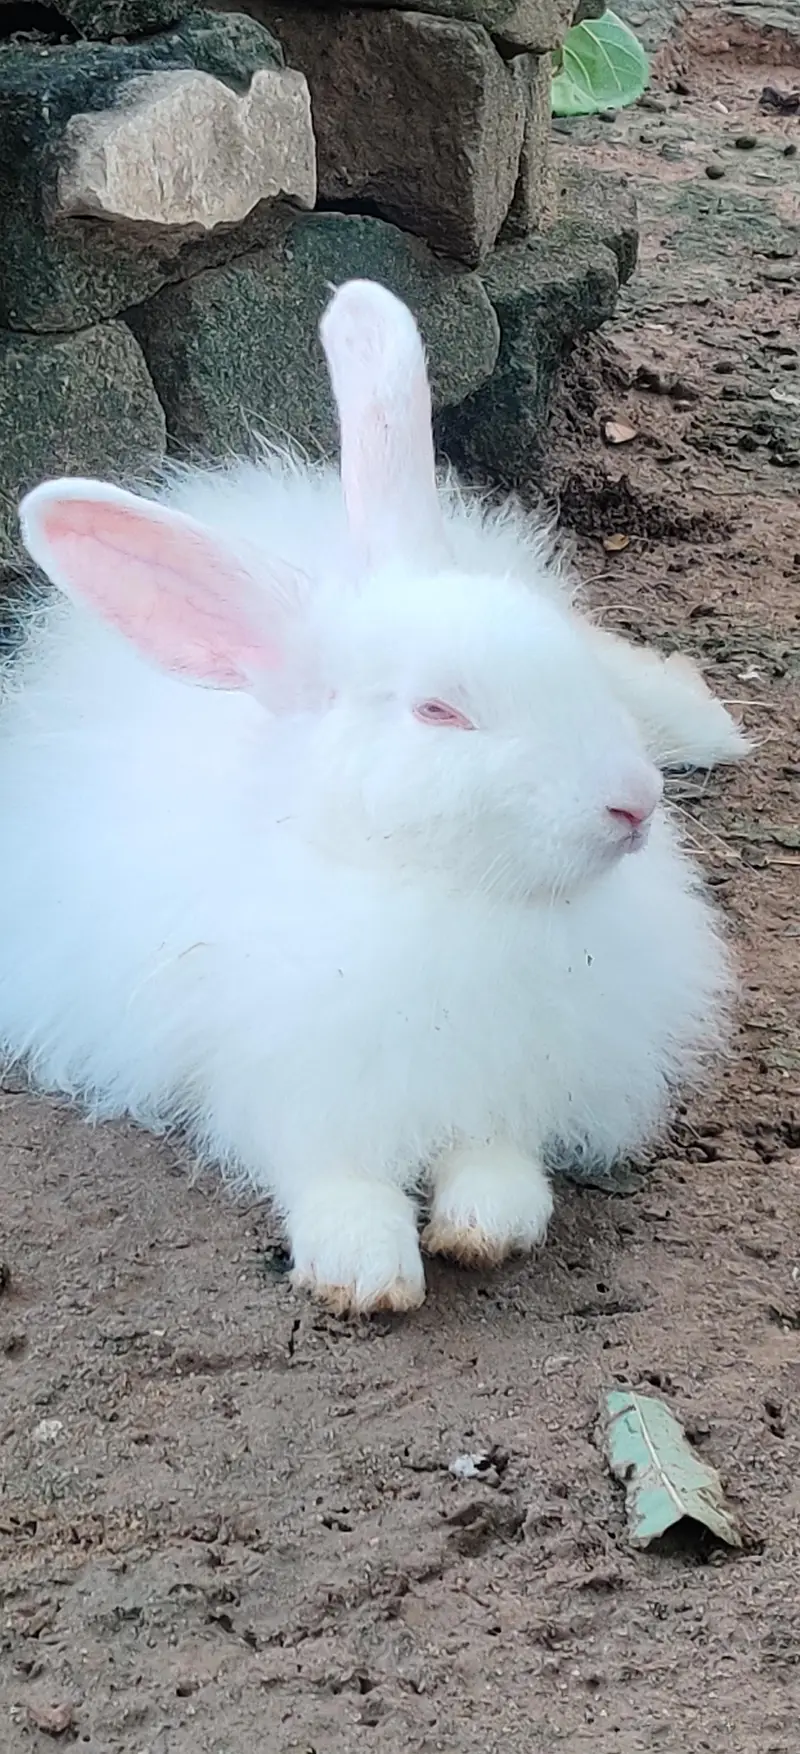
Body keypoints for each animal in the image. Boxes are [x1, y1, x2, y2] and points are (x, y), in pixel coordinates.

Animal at [0, 279, 750, 1316]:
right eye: (440, 711)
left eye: (558, 662)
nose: (633, 805)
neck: (447, 898)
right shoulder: (294, 1090)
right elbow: (335, 1179)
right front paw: (365, 1271)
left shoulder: (513, 1082)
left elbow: (499, 1162)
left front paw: (485, 1227)